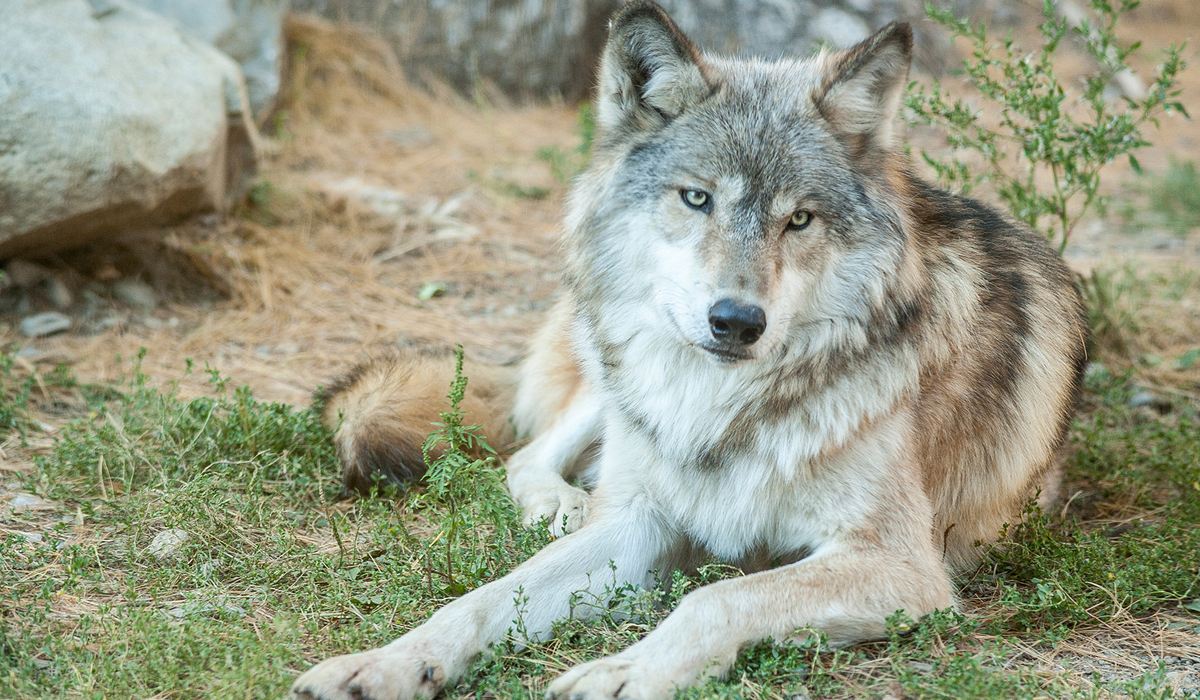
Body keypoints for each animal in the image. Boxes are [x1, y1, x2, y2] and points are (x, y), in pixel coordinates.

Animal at [292, 2, 1089, 696]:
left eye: (799, 219)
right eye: (697, 198)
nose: (737, 321)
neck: (727, 412)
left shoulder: (899, 563)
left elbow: (719, 598)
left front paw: (624, 671)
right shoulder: (640, 525)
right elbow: (485, 598)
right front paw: (387, 663)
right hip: (610, 378)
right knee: (533, 454)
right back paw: (563, 503)